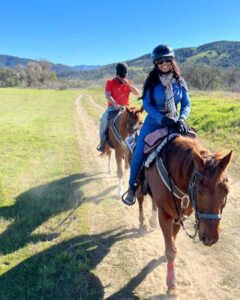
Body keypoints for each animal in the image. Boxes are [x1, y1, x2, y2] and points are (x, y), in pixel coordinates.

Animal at [145, 135, 232, 296]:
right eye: (199, 191)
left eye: (226, 191)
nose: (210, 238)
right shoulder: (165, 215)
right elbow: (171, 251)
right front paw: (171, 284)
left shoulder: (179, 216)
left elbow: (172, 240)